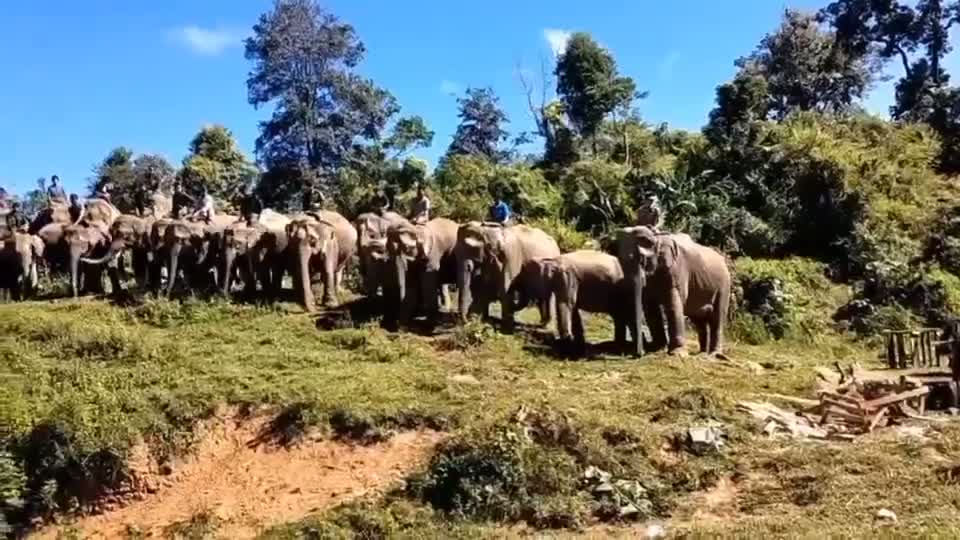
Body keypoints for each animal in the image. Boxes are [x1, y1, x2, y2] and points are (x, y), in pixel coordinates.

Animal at [616, 226, 731, 357]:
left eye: (642, 261)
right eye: (620, 261)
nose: (639, 353)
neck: (658, 237)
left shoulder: (677, 269)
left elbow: (673, 304)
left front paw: (677, 354)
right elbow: (650, 308)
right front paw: (658, 349)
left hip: (724, 285)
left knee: (718, 316)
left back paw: (713, 355)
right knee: (699, 319)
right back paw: (701, 353)